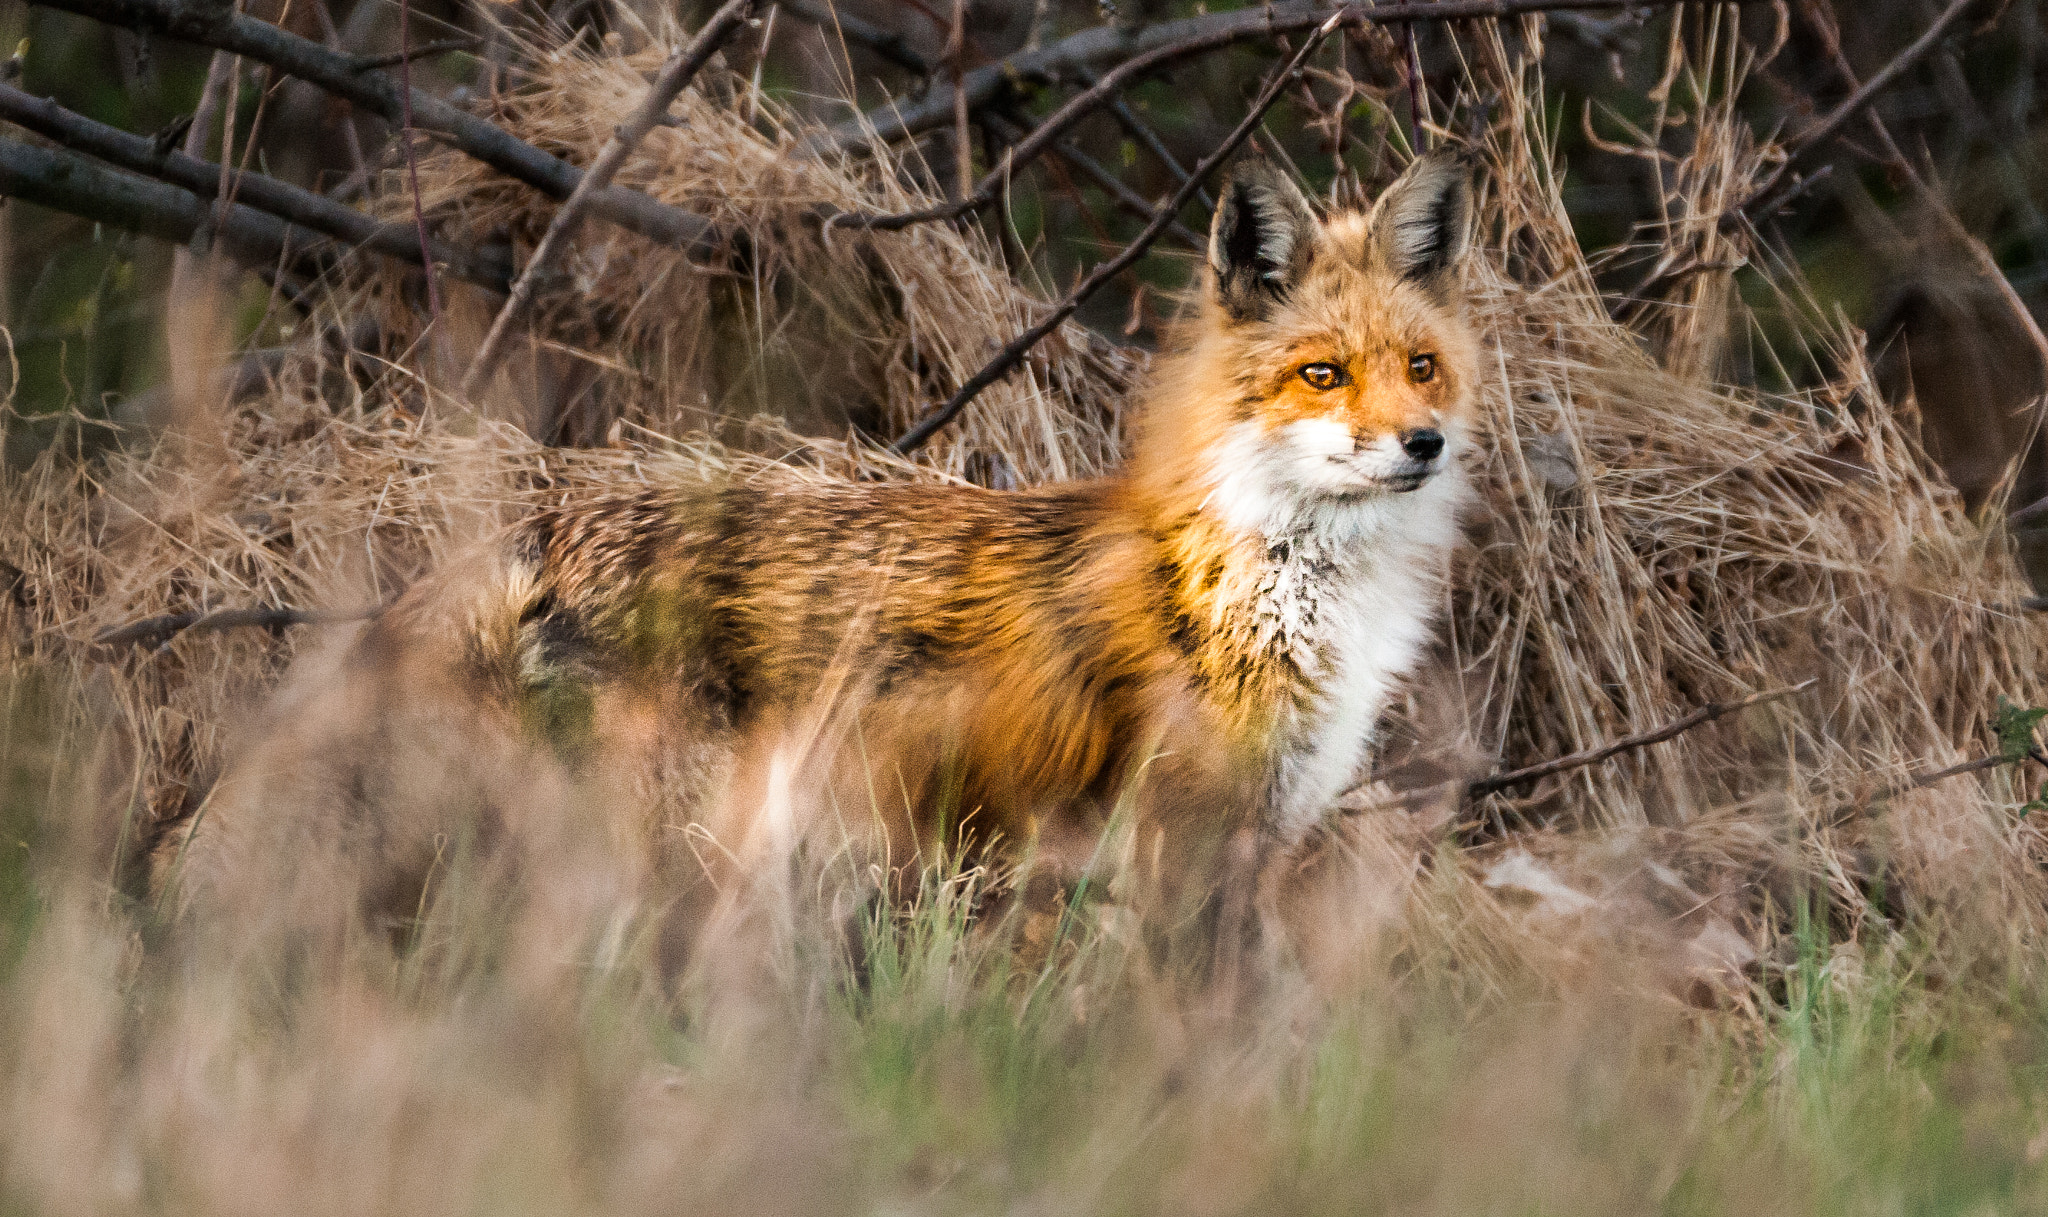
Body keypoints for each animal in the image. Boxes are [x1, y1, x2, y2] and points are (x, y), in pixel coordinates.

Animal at [161, 153, 1479, 972]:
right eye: (1320, 373)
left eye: (1419, 366)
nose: (1422, 443)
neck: (1260, 584)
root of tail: (534, 532)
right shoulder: (1165, 847)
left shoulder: (1237, 843)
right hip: (681, 843)